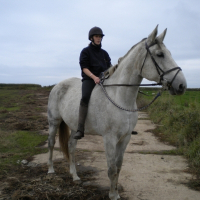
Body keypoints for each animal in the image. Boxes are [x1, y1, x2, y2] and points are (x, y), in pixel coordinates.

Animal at [47, 25, 188, 199]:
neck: (120, 97)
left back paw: (75, 176)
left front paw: (116, 192)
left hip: (74, 127)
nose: (181, 85)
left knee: (71, 147)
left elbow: (119, 167)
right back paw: (51, 170)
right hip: (54, 122)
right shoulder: (109, 139)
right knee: (51, 143)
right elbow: (111, 168)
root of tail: (57, 85)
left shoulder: (125, 138)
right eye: (160, 54)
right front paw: (112, 194)